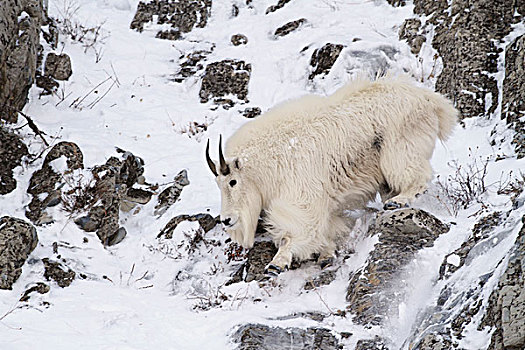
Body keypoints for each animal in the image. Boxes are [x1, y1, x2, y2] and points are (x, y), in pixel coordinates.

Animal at [205, 76, 454, 276]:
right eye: (217, 184)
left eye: (232, 181)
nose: (226, 219)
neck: (266, 161)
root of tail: (431, 101)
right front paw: (326, 255)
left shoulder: (302, 197)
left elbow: (297, 231)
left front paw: (277, 264)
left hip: (400, 150)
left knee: (418, 176)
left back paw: (398, 201)